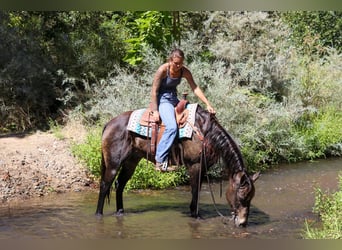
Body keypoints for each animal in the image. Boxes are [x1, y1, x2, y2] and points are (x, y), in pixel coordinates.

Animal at [95, 103, 260, 227]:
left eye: (251, 197)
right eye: (242, 196)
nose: (242, 223)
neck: (205, 132)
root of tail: (109, 123)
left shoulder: (203, 168)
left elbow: (197, 190)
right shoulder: (195, 166)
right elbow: (195, 190)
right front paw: (195, 215)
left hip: (131, 161)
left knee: (120, 184)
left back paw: (120, 212)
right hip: (113, 163)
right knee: (105, 185)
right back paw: (98, 214)